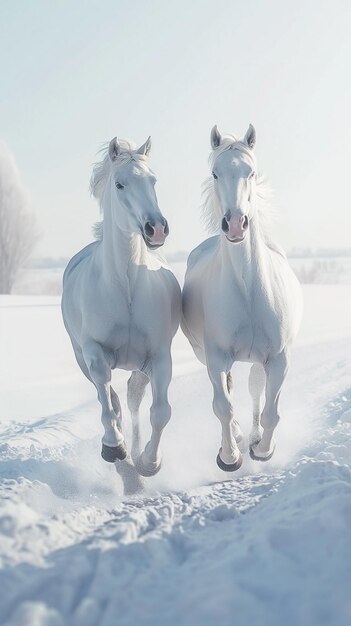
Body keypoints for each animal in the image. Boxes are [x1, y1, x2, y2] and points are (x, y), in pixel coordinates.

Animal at [62, 138, 182, 478]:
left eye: (153, 180)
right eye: (119, 184)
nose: (156, 228)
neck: (126, 287)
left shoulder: (159, 356)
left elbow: (161, 412)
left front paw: (149, 463)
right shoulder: (93, 352)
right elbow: (107, 402)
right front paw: (114, 447)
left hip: (140, 368)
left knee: (133, 401)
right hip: (82, 358)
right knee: (112, 400)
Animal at [182, 124, 302, 470]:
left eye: (251, 172)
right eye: (215, 173)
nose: (235, 224)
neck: (248, 291)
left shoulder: (279, 358)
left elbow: (272, 411)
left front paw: (263, 450)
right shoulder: (216, 357)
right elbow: (223, 406)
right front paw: (229, 456)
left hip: (260, 360)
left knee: (255, 390)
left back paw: (253, 437)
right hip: (205, 355)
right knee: (231, 394)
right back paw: (236, 438)